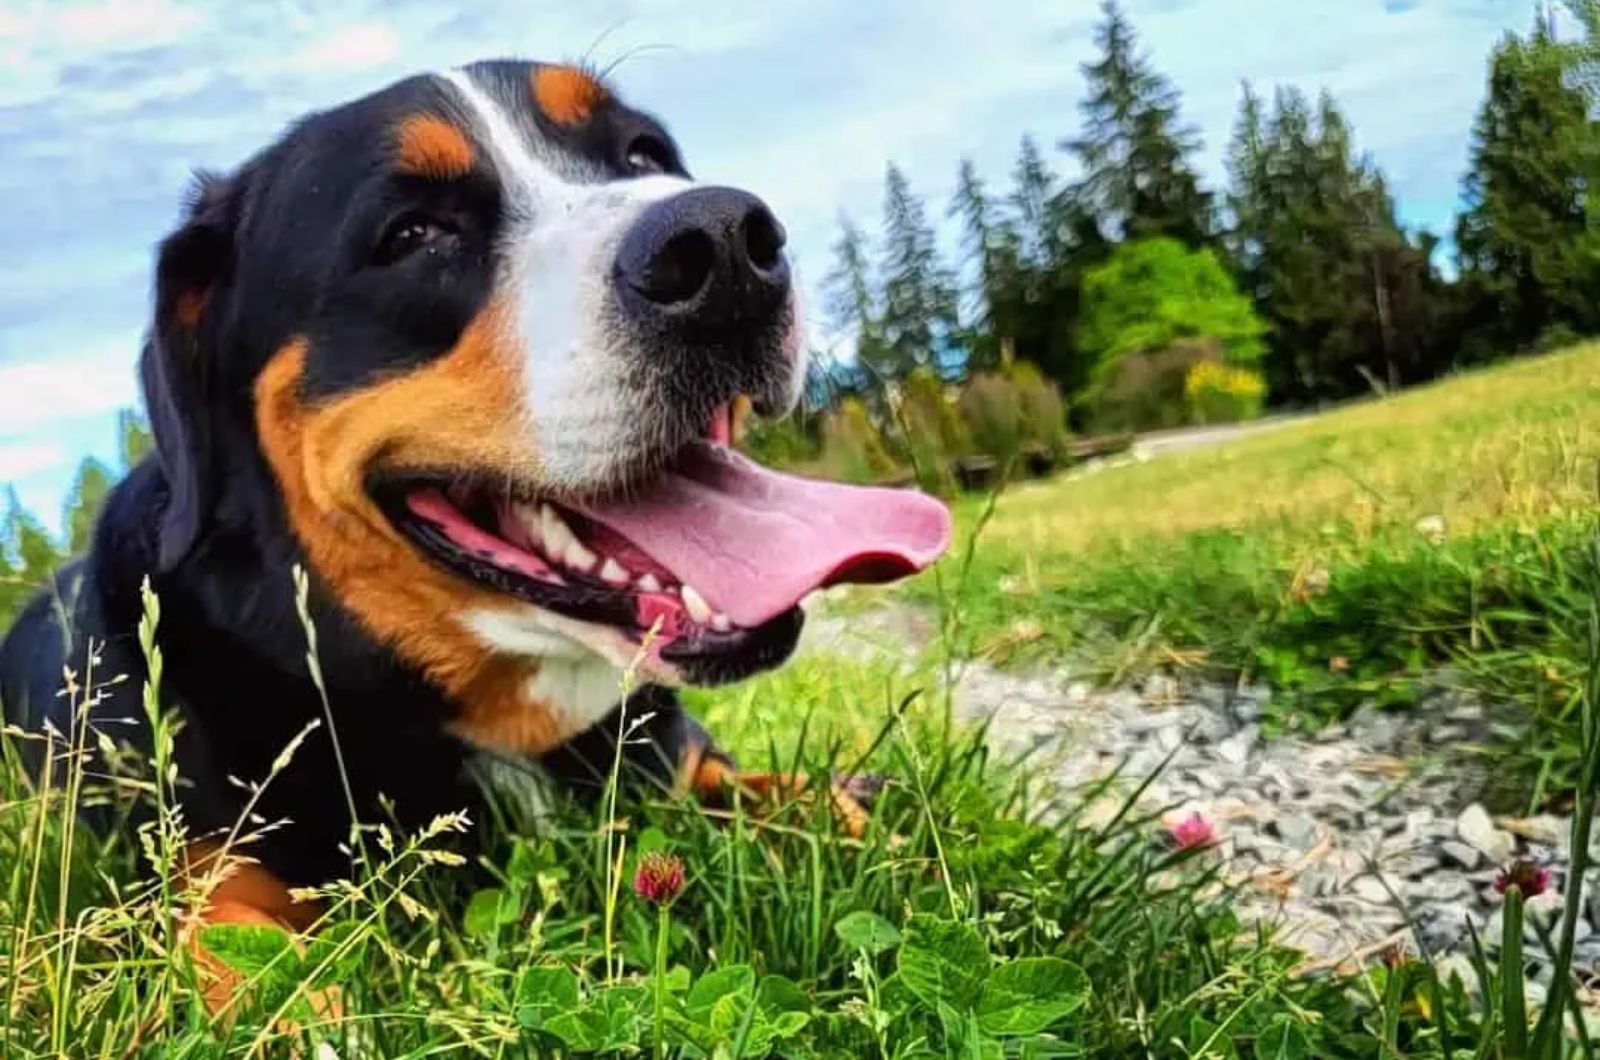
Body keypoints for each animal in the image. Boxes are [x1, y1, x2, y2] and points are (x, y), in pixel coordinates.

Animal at [0, 60, 947, 960]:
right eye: (410, 234)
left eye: (643, 155)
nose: (721, 243)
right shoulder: (207, 875)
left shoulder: (674, 756)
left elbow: (774, 790)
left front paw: (859, 807)